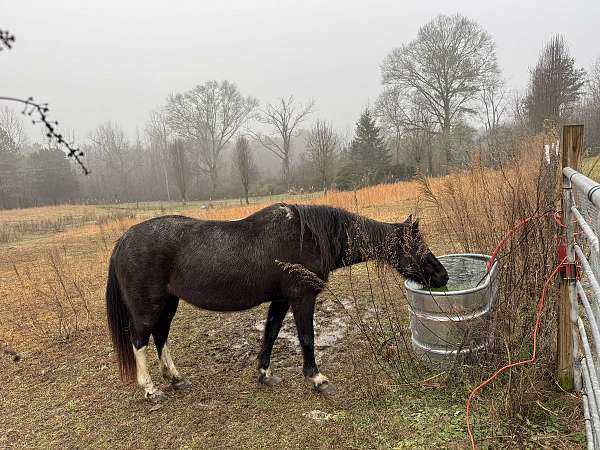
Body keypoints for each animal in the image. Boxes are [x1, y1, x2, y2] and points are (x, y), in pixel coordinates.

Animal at [105, 203, 448, 400]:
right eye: (417, 247)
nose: (442, 275)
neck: (309, 236)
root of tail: (124, 240)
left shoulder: (281, 300)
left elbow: (270, 334)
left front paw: (264, 374)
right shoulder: (301, 298)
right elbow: (307, 337)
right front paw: (317, 379)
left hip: (168, 303)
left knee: (160, 336)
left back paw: (176, 379)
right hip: (149, 306)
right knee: (140, 340)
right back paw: (151, 390)